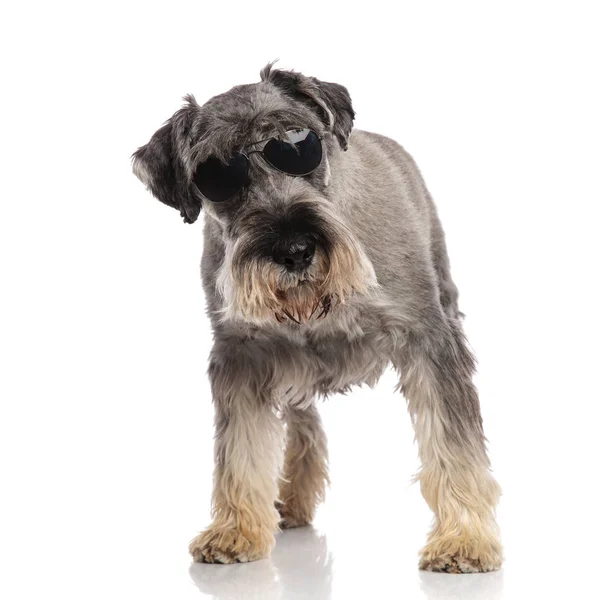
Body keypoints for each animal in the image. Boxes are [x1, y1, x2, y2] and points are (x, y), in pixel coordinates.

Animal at [131, 62, 502, 572]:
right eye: (215, 175)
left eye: (298, 144)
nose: (295, 250)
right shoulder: (241, 355)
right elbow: (240, 450)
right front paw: (235, 530)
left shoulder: (427, 338)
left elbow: (453, 443)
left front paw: (464, 539)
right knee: (302, 422)